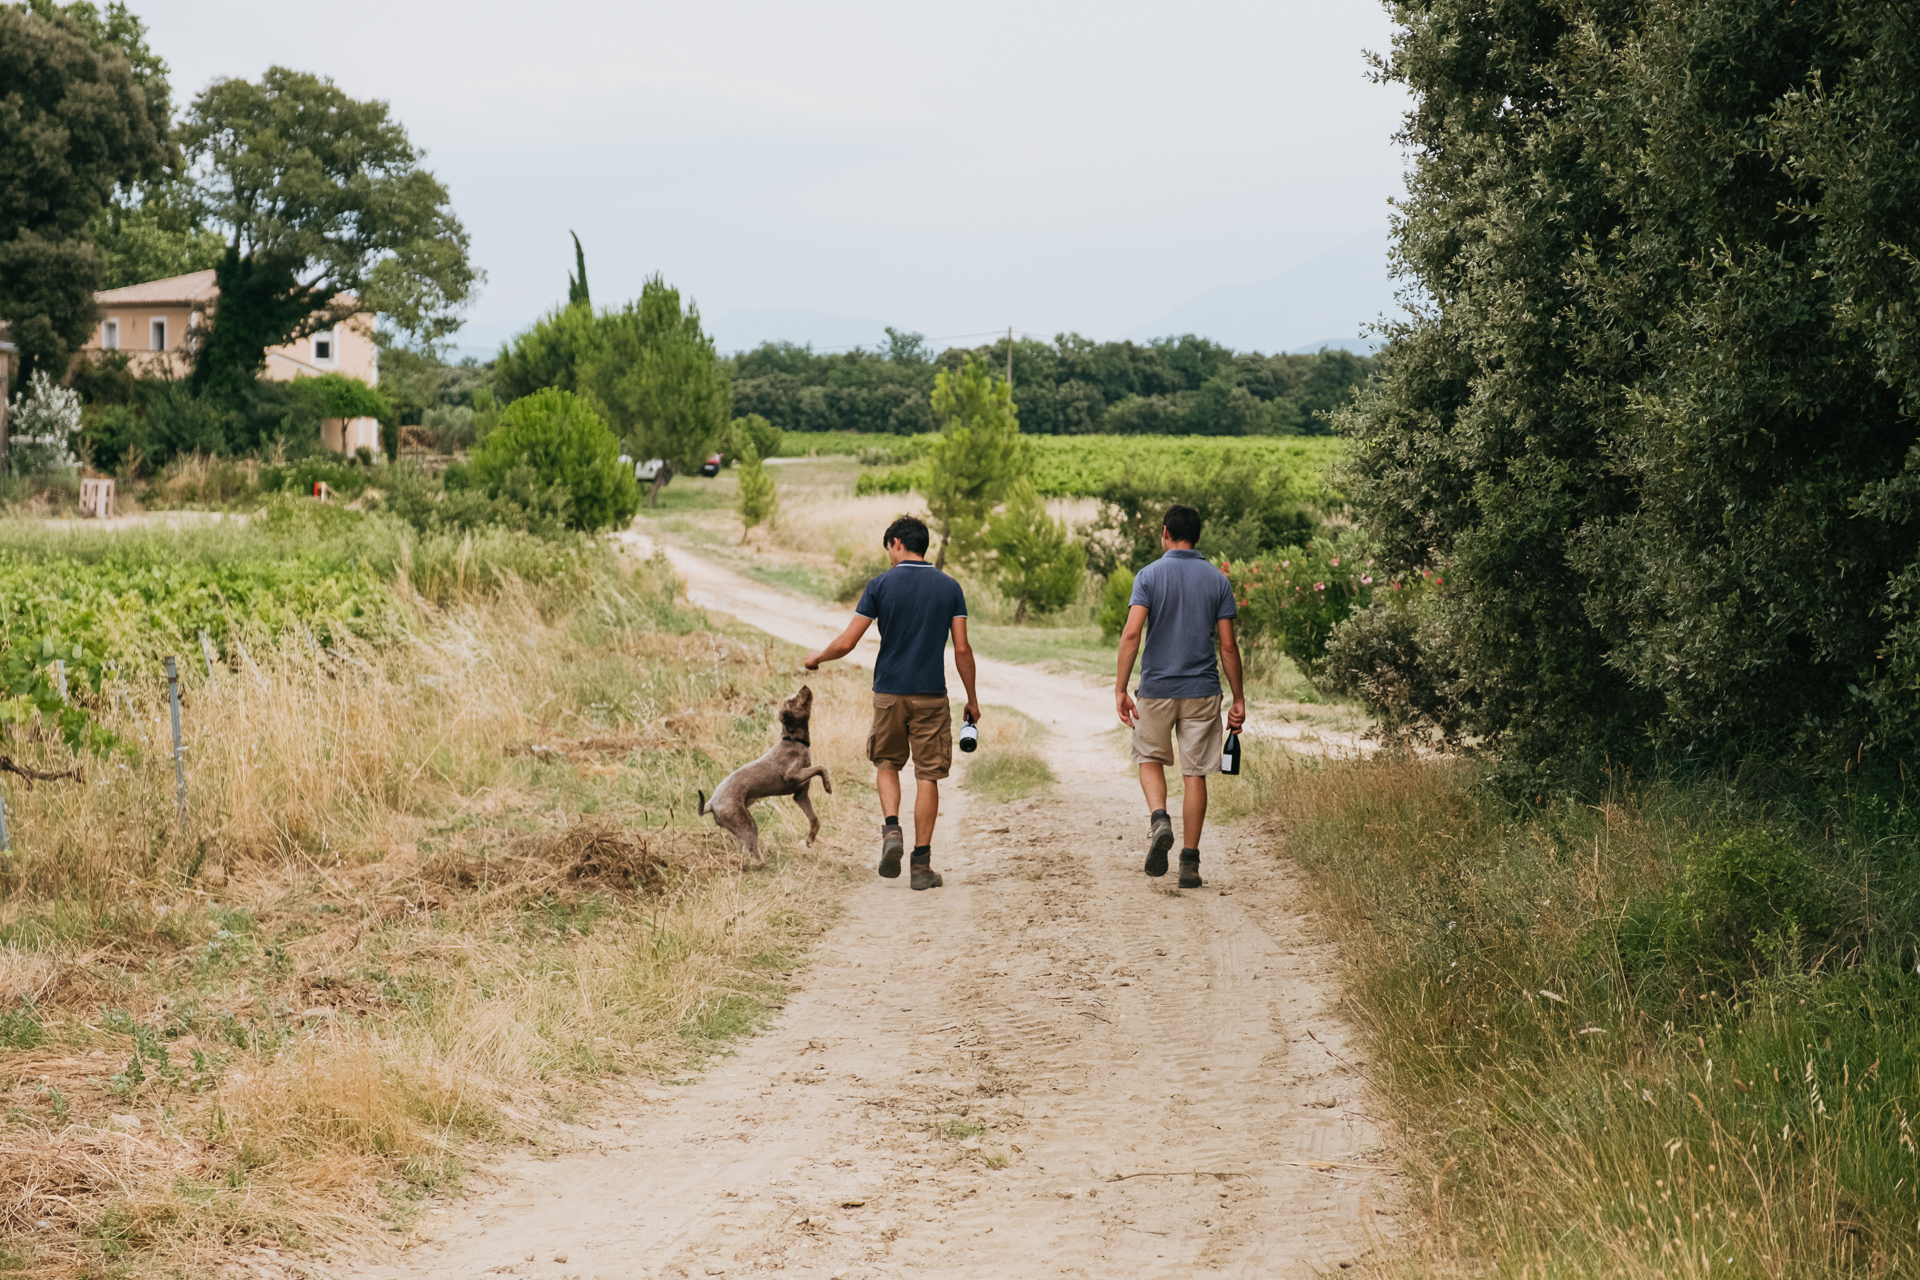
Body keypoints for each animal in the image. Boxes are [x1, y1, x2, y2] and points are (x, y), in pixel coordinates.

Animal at [698, 687, 833, 867]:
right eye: (793, 701)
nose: (804, 687)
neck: (794, 741)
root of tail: (711, 803)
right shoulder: (792, 776)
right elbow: (821, 768)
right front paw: (828, 786)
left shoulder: (801, 796)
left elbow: (814, 819)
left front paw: (810, 840)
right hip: (745, 823)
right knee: (747, 849)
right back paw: (759, 864)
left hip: (743, 825)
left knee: (744, 848)